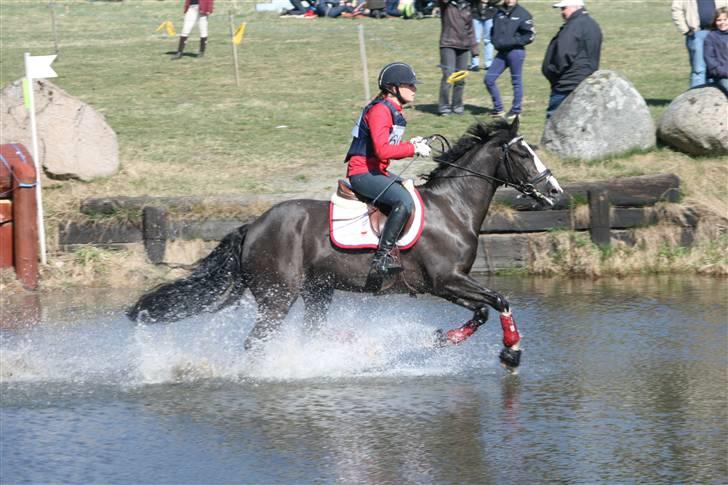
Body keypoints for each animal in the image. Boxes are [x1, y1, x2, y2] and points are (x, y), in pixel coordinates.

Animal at [129, 117, 564, 366]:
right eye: (525, 155)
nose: (555, 192)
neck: (452, 206)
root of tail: (252, 226)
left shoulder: (446, 286)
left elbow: (483, 312)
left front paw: (443, 338)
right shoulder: (447, 280)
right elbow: (499, 301)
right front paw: (511, 351)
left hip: (317, 291)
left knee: (308, 332)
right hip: (278, 297)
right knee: (256, 342)